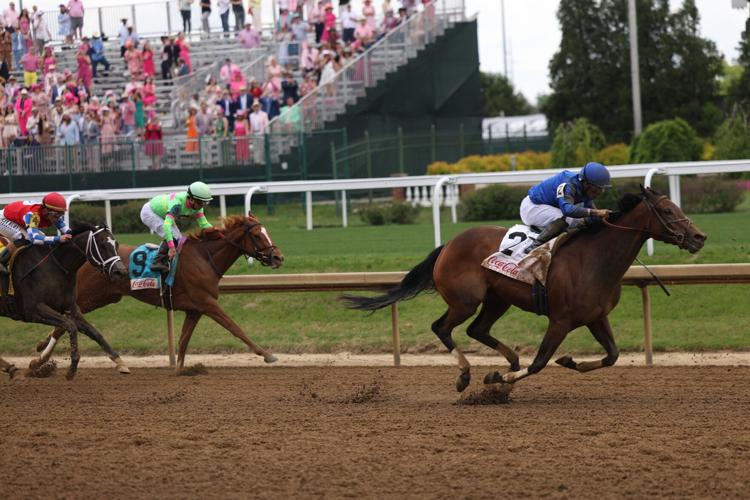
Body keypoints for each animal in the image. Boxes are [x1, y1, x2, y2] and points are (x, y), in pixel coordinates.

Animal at [0, 224, 128, 379]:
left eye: (117, 244)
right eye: (102, 244)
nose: (121, 272)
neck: (56, 265)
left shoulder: (71, 308)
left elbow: (94, 332)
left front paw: (119, 362)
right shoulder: (34, 310)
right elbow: (70, 326)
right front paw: (71, 369)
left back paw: (9, 367)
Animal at [35, 213, 284, 371]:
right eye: (257, 235)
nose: (278, 257)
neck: (204, 258)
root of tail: (87, 256)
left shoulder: (195, 309)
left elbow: (183, 340)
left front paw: (180, 370)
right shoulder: (207, 303)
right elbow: (235, 328)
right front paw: (267, 355)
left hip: (104, 297)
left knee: (68, 319)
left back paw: (40, 352)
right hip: (88, 296)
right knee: (67, 320)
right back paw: (40, 357)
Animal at [343, 187, 707, 392]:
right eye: (668, 210)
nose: (699, 237)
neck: (595, 259)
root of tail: (448, 244)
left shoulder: (595, 317)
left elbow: (612, 356)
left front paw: (570, 362)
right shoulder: (560, 320)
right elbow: (540, 363)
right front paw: (498, 380)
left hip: (498, 299)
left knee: (478, 329)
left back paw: (509, 360)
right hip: (466, 300)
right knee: (442, 327)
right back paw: (466, 374)